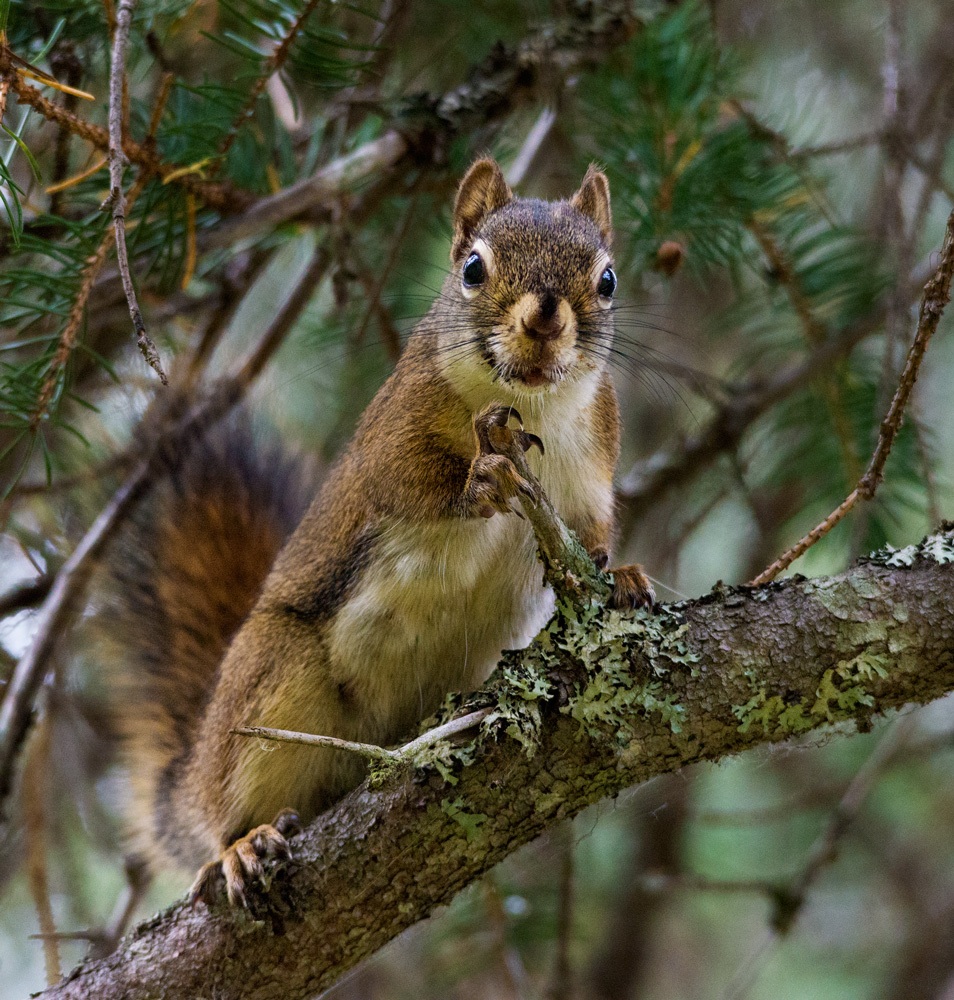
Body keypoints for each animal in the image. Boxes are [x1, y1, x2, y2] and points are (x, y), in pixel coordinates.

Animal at [102, 158, 654, 908]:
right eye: (473, 268)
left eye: (607, 280)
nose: (544, 317)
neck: (532, 403)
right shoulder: (391, 432)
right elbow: (406, 482)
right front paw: (479, 482)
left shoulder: (596, 463)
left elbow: (592, 530)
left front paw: (619, 574)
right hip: (270, 684)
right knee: (223, 806)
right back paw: (239, 846)